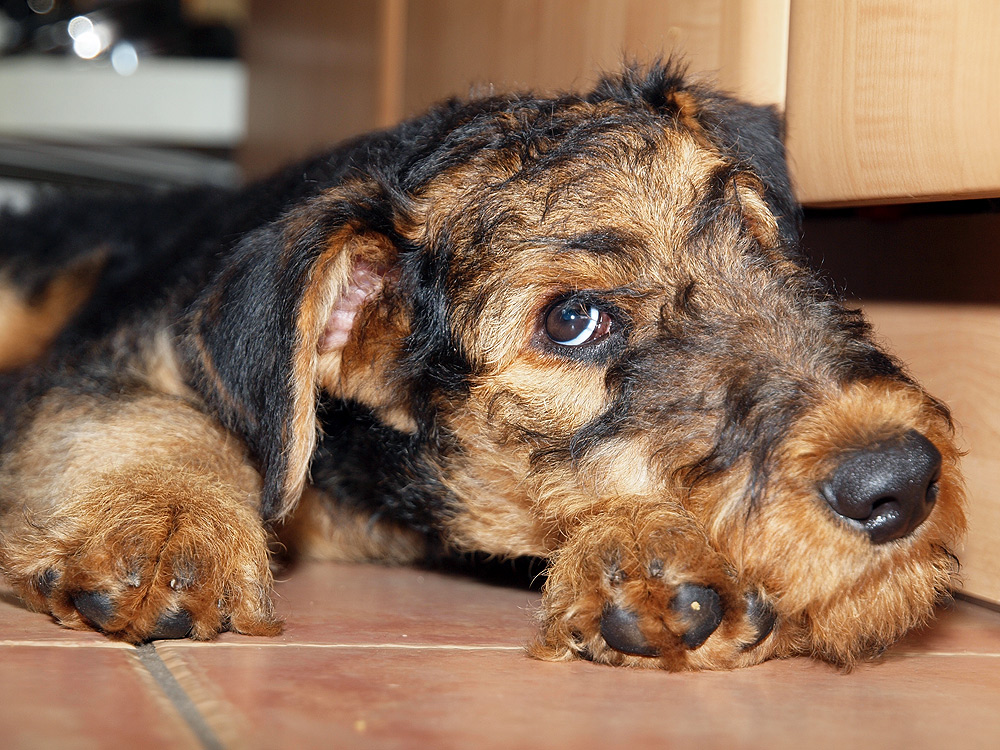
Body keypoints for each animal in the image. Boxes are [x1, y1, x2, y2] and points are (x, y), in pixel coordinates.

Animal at [0, 64, 968, 672]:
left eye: (761, 242)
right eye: (572, 320)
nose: (899, 481)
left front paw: (645, 549)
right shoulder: (124, 352)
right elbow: (144, 416)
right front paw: (165, 537)